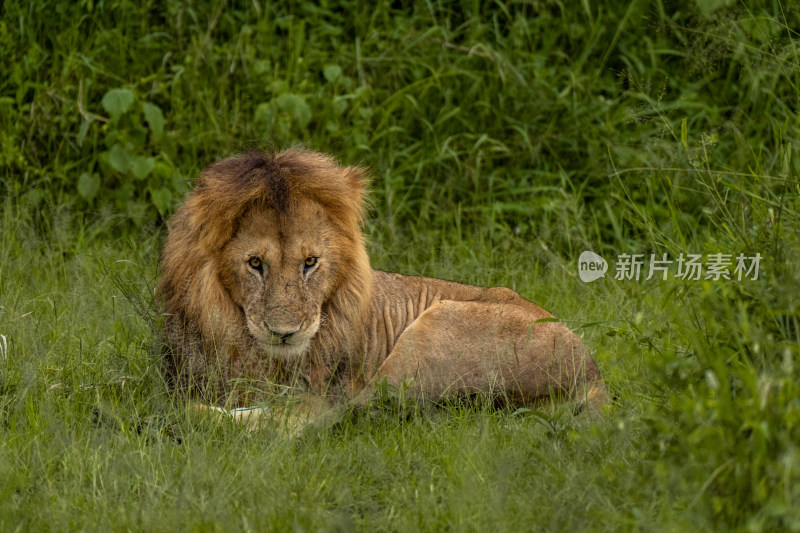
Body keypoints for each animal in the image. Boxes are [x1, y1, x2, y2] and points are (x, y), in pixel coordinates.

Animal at [158, 148, 608, 430]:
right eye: (255, 264)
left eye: (310, 262)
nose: (285, 332)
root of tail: (595, 373)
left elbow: (301, 411)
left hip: (431, 332)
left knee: (319, 416)